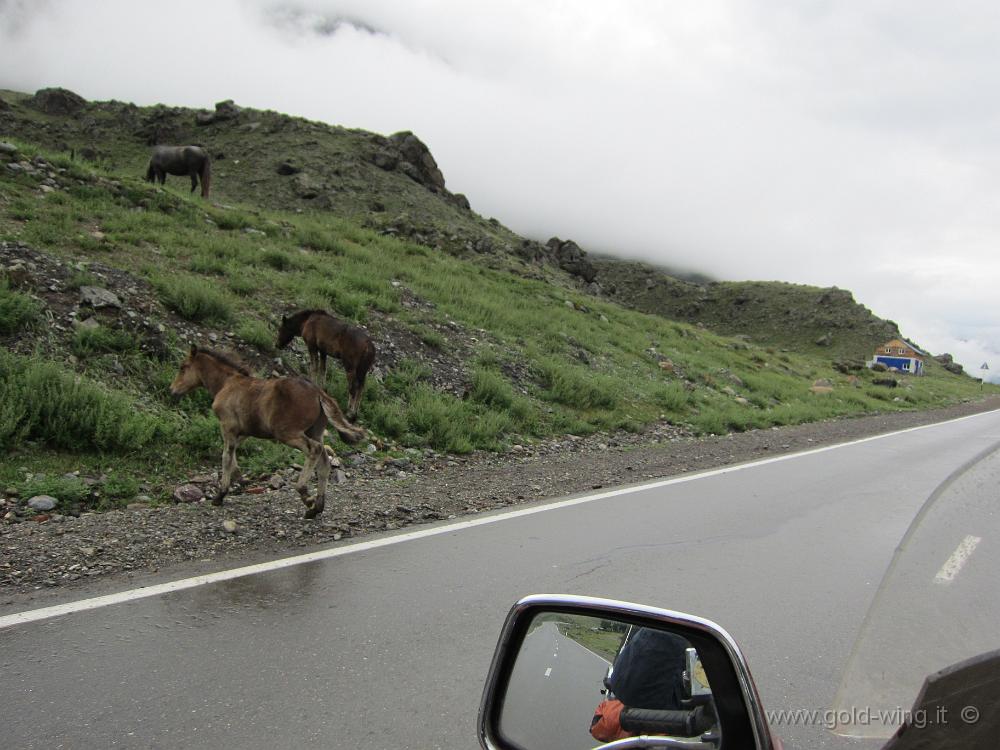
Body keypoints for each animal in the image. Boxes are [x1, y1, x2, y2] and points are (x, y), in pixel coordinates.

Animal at [170, 348, 366, 520]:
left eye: (183, 367)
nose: (172, 390)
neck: (225, 384)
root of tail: (318, 392)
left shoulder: (228, 426)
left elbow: (226, 456)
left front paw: (220, 495)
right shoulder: (244, 431)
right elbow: (233, 453)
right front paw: (240, 479)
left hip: (287, 432)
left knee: (314, 449)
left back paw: (305, 493)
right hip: (315, 431)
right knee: (324, 461)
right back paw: (316, 507)